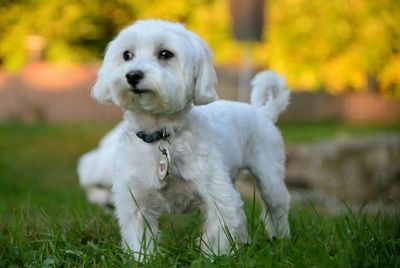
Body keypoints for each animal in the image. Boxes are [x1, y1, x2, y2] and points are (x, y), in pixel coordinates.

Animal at [91, 19, 290, 260]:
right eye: (126, 55)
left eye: (165, 54)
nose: (132, 75)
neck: (160, 135)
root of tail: (262, 112)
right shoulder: (134, 199)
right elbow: (139, 237)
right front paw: (143, 259)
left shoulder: (218, 195)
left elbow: (219, 230)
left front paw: (215, 257)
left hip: (269, 177)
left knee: (277, 209)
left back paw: (280, 240)